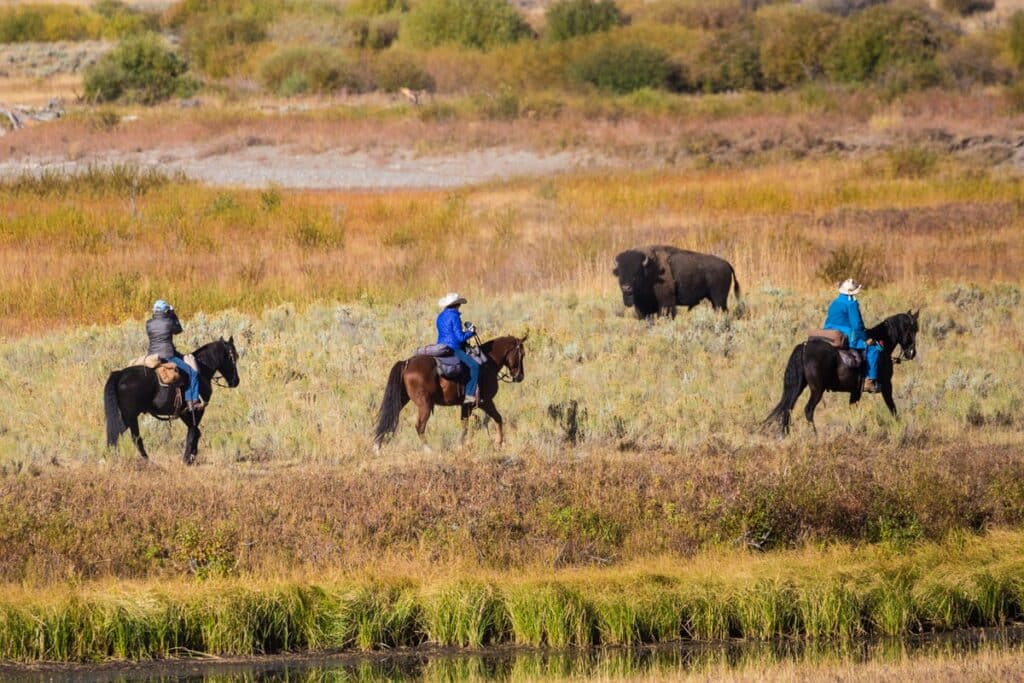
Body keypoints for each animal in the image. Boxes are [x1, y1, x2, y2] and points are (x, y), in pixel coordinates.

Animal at [103, 337, 239, 464]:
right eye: (233, 356)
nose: (236, 381)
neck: (202, 370)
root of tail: (120, 374)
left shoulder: (184, 412)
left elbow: (195, 431)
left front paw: (191, 456)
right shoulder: (196, 410)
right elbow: (194, 431)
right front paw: (187, 458)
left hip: (126, 416)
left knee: (116, 434)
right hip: (131, 415)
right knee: (133, 437)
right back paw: (147, 460)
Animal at [374, 335, 528, 450]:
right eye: (522, 354)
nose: (520, 377)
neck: (488, 362)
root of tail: (406, 363)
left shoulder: (466, 405)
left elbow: (465, 425)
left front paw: (461, 445)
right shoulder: (486, 402)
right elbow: (498, 418)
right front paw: (499, 442)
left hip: (401, 400)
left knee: (389, 418)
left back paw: (378, 447)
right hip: (425, 405)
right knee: (419, 426)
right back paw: (429, 450)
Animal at [610, 246, 741, 319]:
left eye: (636, 274)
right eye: (620, 273)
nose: (626, 288)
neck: (650, 271)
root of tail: (727, 264)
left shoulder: (666, 303)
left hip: (719, 299)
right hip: (714, 300)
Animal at [761, 313, 921, 436]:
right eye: (912, 329)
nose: (912, 353)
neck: (882, 346)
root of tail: (805, 346)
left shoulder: (855, 391)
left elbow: (852, 410)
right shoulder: (887, 386)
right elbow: (892, 408)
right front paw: (900, 428)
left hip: (800, 386)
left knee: (788, 407)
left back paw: (785, 434)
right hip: (817, 389)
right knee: (808, 409)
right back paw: (814, 434)